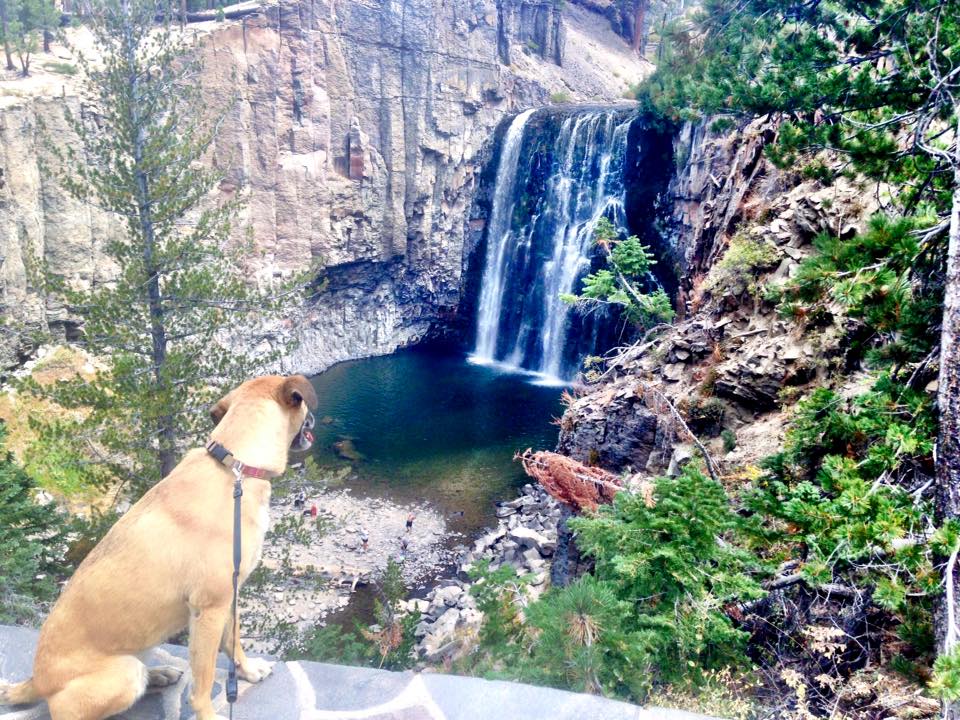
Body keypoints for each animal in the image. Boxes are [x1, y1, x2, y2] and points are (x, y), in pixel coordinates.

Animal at [0, 374, 318, 720]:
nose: (315, 419)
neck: (237, 465)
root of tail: (36, 681)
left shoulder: (229, 597)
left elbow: (233, 641)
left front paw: (247, 672)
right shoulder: (208, 609)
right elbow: (203, 680)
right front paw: (208, 713)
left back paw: (159, 673)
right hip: (123, 674)